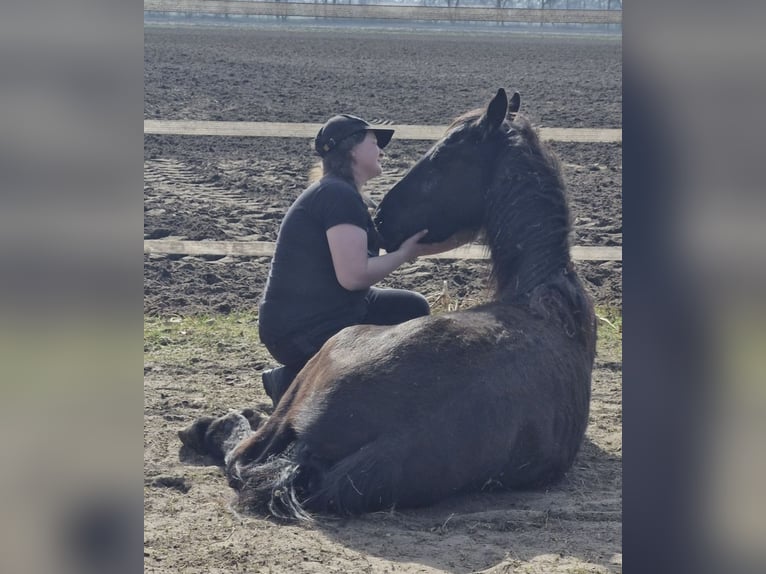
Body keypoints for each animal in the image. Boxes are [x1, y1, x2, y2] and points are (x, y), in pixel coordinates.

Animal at [178, 88, 597, 520]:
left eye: (444, 154)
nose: (381, 218)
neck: (544, 295)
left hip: (323, 359)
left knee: (241, 453)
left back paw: (214, 425)